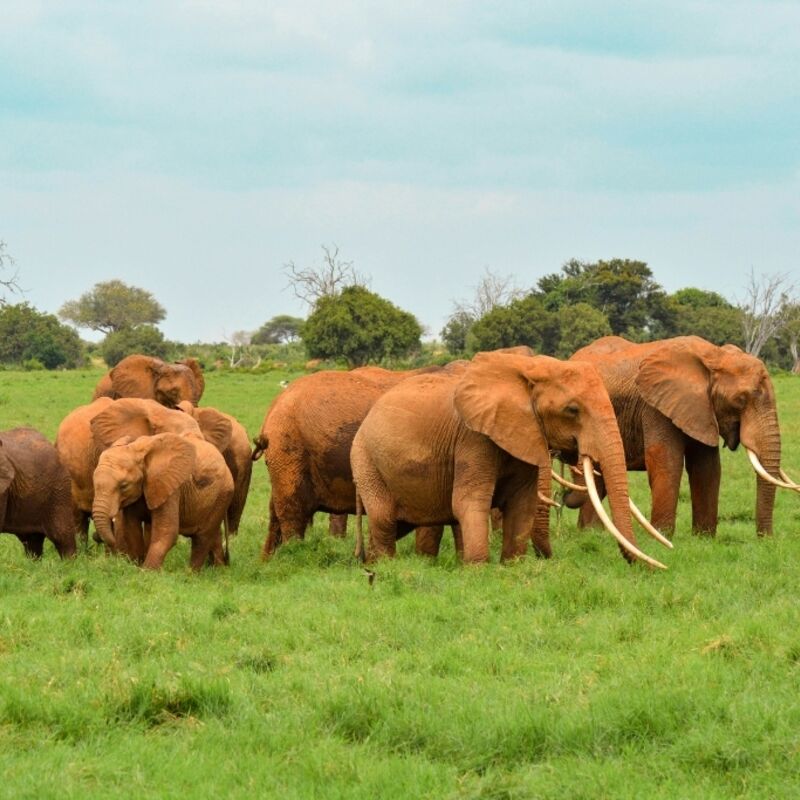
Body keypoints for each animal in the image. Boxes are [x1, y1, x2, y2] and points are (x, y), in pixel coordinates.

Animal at [93, 432, 234, 568]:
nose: (97, 537)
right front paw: (136, 565)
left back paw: (191, 573)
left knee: (202, 537)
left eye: (124, 485)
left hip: (222, 495)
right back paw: (217, 569)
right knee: (213, 535)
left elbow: (166, 531)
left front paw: (147, 571)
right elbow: (131, 529)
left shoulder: (169, 487)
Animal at [354, 352, 664, 568]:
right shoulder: (473, 437)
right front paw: (478, 570)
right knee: (384, 518)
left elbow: (522, 503)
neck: (527, 372)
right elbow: (469, 501)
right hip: (365, 460)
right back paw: (384, 566)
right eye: (572, 410)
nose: (650, 569)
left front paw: (512, 566)